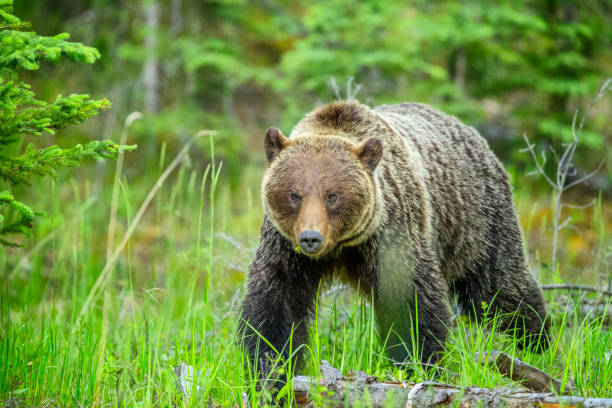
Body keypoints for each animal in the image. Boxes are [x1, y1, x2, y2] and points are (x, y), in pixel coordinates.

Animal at [238, 100, 548, 384]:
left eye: (332, 195)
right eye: (294, 194)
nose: (311, 238)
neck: (343, 247)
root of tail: (469, 131)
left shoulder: (392, 234)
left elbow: (412, 305)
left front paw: (421, 364)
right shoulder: (285, 249)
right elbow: (276, 308)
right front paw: (269, 374)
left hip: (477, 223)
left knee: (501, 290)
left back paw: (536, 346)